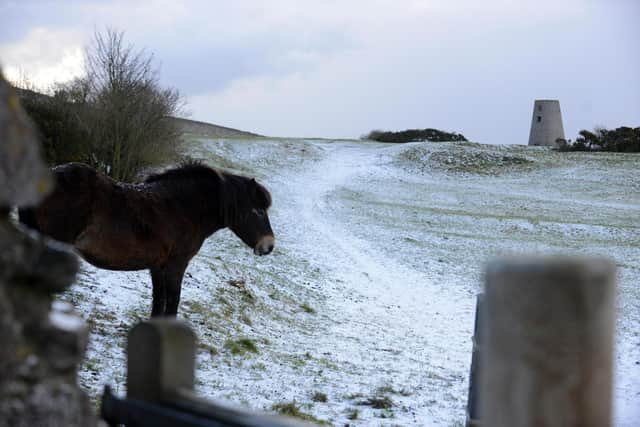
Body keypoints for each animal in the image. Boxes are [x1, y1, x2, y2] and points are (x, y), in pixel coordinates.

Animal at [18, 164, 274, 318]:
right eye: (259, 210)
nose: (269, 246)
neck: (182, 207)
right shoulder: (176, 265)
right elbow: (172, 300)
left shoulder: (157, 266)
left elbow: (158, 300)